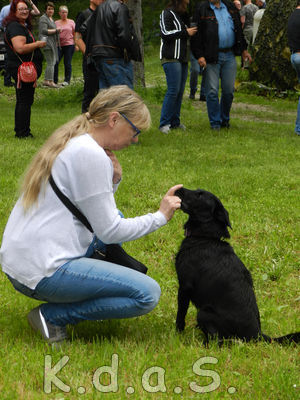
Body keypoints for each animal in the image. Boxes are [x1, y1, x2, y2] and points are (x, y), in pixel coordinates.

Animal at [175, 188, 298, 344]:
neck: (205, 237)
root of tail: (258, 335)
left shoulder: (184, 286)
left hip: (203, 313)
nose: (179, 189)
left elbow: (180, 314)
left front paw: (177, 334)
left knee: (218, 341)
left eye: (200, 195)